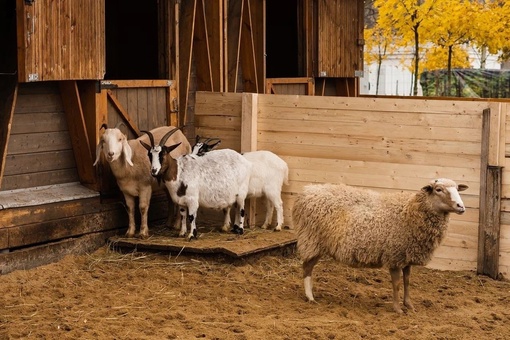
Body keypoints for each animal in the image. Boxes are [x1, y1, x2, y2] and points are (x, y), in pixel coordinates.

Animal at [292, 178, 468, 314]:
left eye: (457, 189)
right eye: (439, 189)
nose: (461, 206)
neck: (409, 211)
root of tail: (306, 192)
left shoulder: (406, 255)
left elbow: (407, 281)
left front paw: (409, 305)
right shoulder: (394, 256)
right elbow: (397, 284)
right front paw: (398, 309)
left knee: (309, 268)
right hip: (312, 240)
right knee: (307, 267)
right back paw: (310, 297)